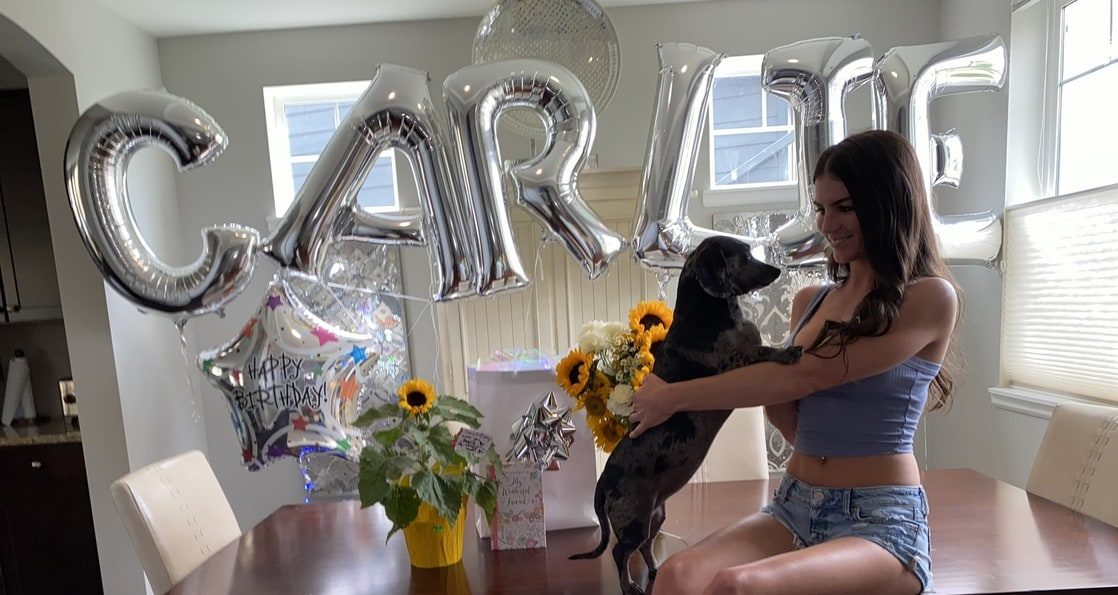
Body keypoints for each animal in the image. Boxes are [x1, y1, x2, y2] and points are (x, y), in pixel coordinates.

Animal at [572, 237, 800, 595]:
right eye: (745, 255)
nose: (777, 270)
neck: (709, 316)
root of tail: (604, 480)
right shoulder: (736, 362)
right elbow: (765, 351)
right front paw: (787, 351)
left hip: (655, 516)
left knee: (645, 547)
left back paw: (655, 570)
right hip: (634, 519)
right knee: (620, 552)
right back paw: (629, 585)